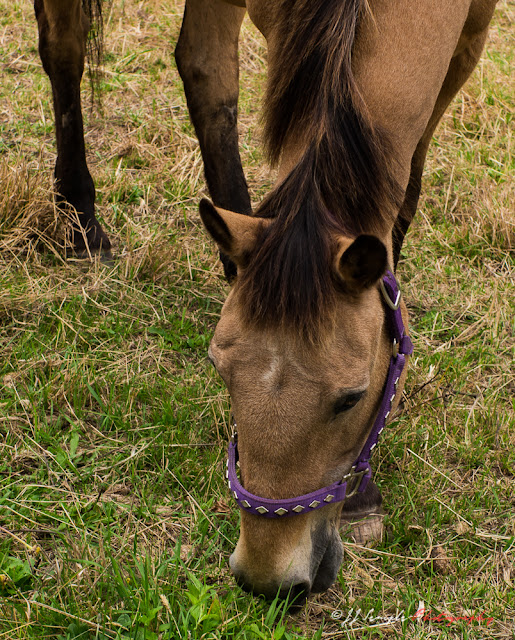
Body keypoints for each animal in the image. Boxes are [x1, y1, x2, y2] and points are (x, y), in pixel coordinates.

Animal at [175, 0, 502, 600]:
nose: (269, 581)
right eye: (219, 371)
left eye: (352, 398)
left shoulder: (471, 36)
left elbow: (405, 194)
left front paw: (362, 496)